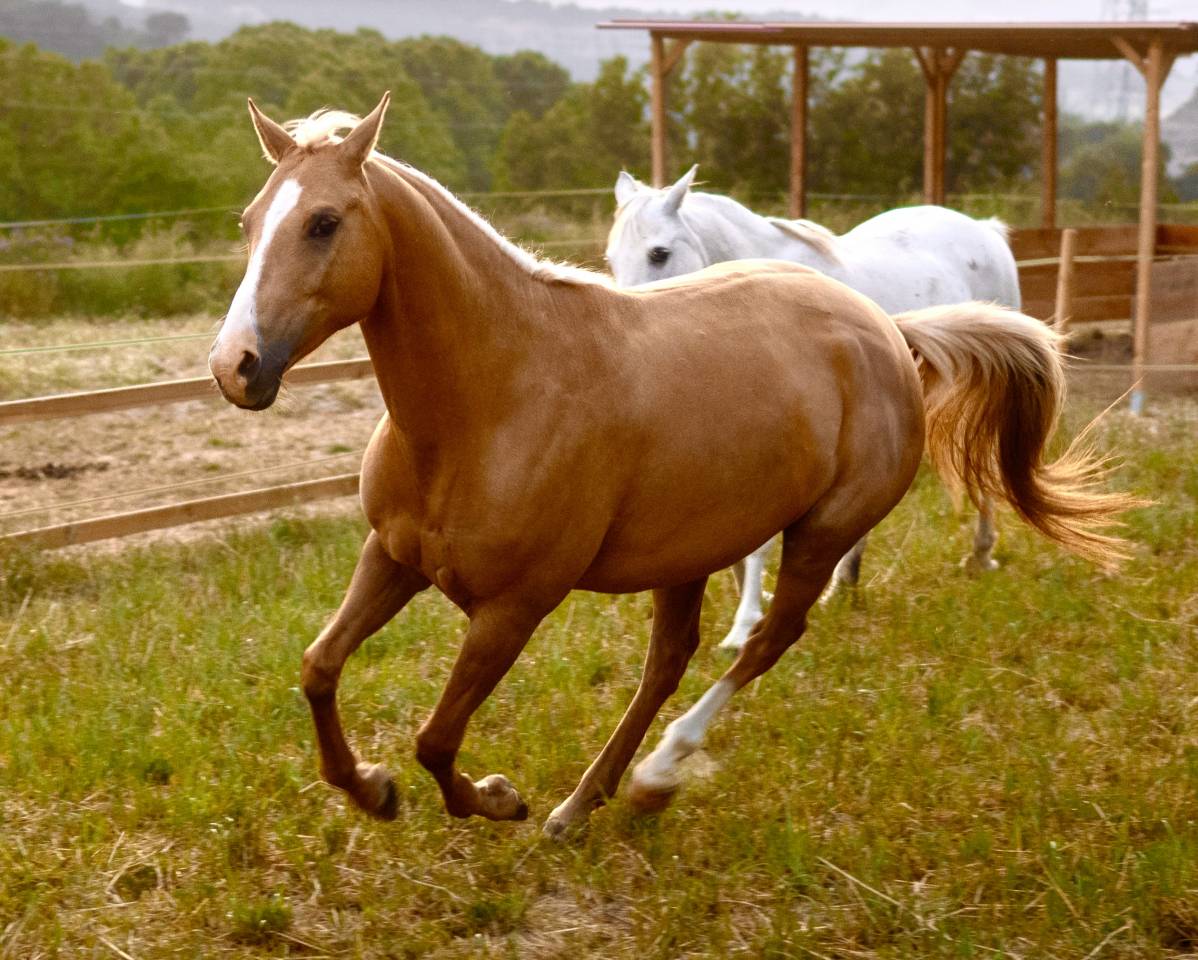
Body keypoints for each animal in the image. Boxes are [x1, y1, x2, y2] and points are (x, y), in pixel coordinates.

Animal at [606, 168, 1023, 649]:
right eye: (611, 258)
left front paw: (744, 625)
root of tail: (984, 230)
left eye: (659, 253)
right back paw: (843, 584)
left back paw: (980, 556)